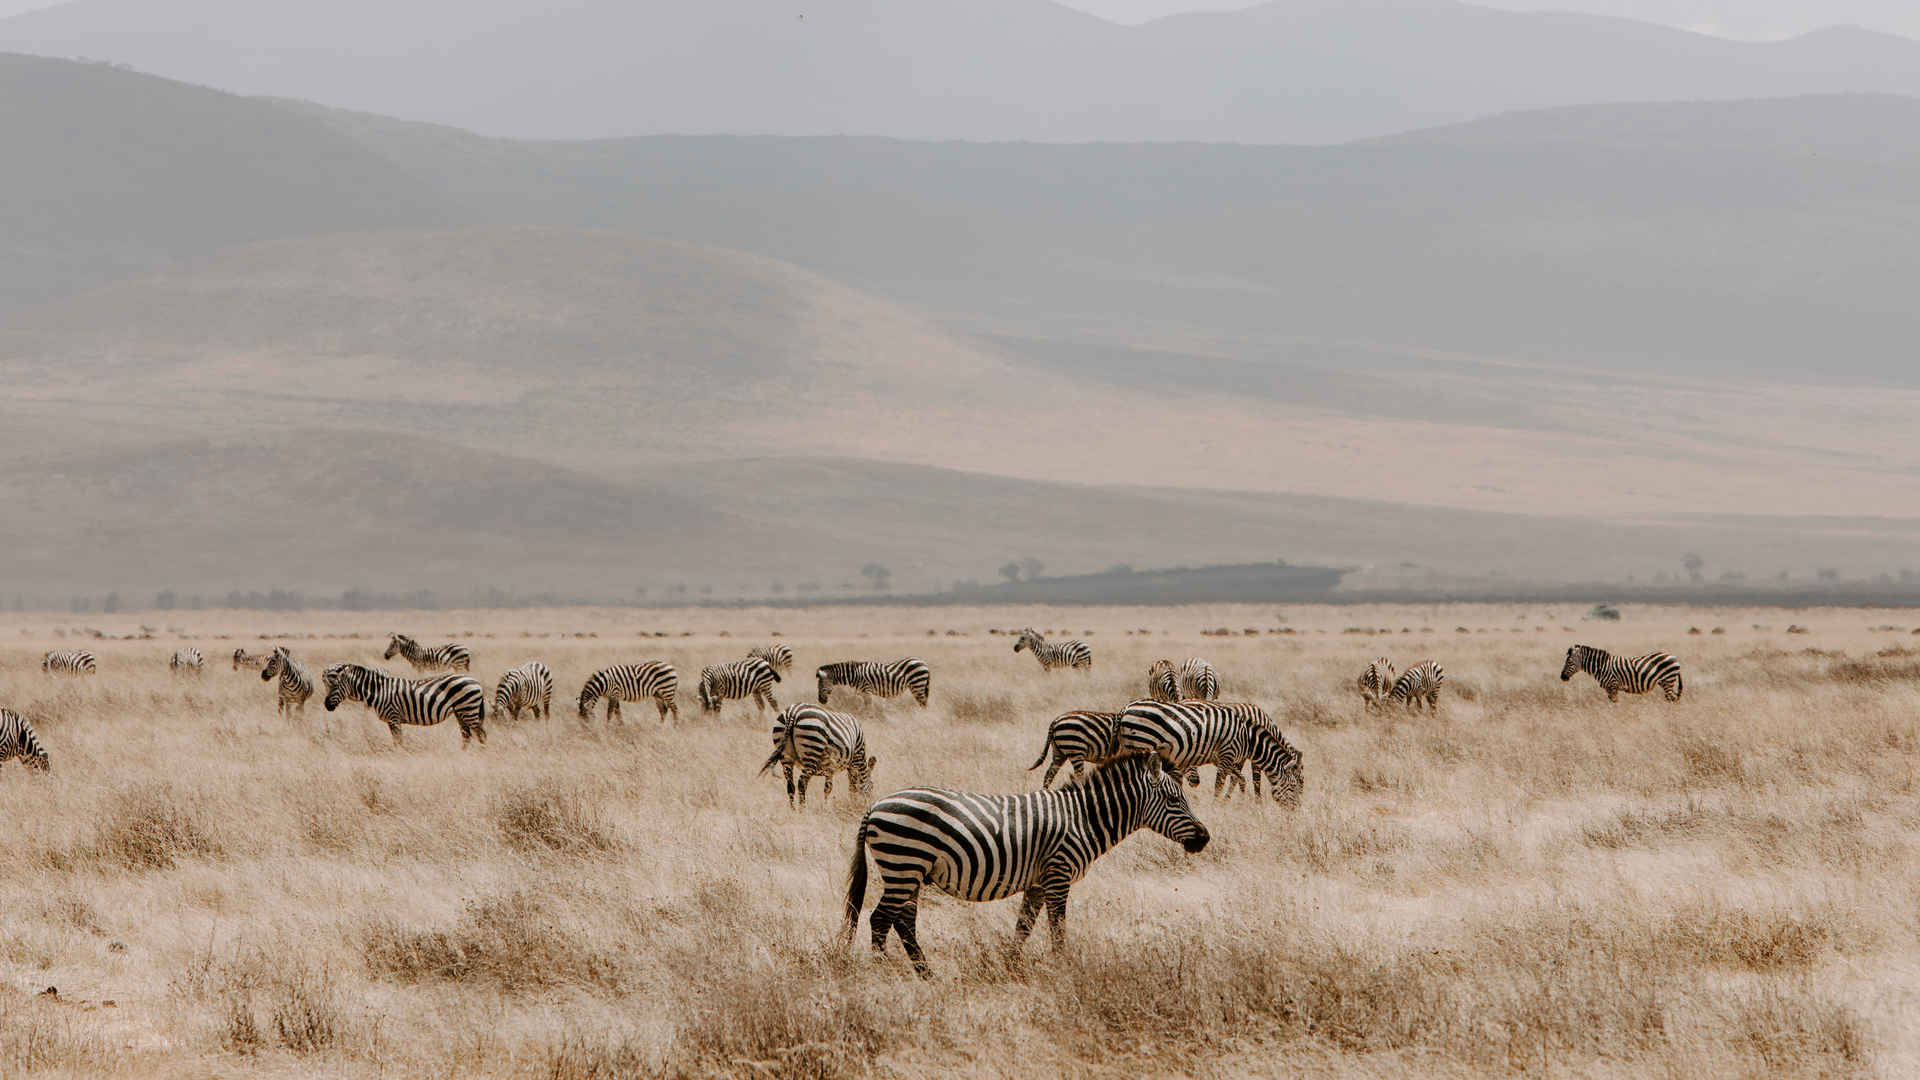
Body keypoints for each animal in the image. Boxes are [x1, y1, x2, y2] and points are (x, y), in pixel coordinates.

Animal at [322, 661, 487, 745]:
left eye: (334, 686)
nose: (326, 705)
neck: (380, 691)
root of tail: (477, 682)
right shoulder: (393, 720)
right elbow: (397, 741)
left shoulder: (393, 717)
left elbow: (398, 742)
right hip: (460, 712)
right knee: (467, 736)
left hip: (468, 709)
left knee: (481, 734)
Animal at [844, 749, 1213, 976]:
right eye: (1173, 800)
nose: (1204, 838)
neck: (1083, 819)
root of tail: (876, 804)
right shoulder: (1058, 873)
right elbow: (1057, 927)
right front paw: (1063, 968)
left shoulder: (1037, 881)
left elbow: (1023, 926)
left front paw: (1010, 965)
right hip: (904, 864)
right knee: (880, 919)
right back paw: (887, 970)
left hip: (911, 871)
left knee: (904, 922)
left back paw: (926, 974)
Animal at [1113, 691, 1305, 803]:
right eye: (1295, 785)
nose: (1295, 813)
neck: (1249, 739)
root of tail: (1126, 708)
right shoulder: (1229, 754)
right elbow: (1228, 782)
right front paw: (1220, 804)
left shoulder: (1226, 758)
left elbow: (1239, 778)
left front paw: (1236, 802)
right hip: (1142, 744)